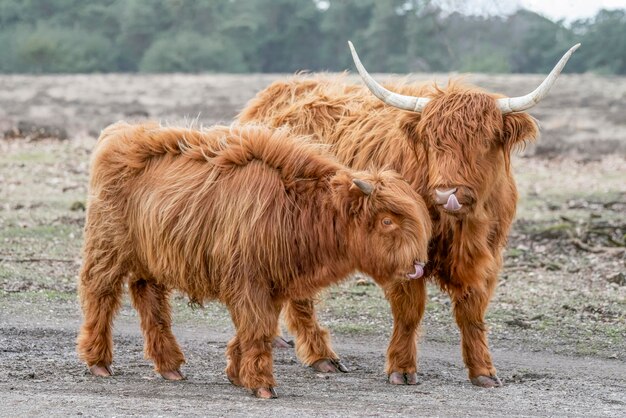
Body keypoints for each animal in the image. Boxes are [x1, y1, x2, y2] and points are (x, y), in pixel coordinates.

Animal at [77, 121, 428, 398]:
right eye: (387, 221)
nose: (417, 266)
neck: (297, 208)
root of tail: (120, 133)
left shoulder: (273, 285)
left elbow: (260, 328)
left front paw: (236, 372)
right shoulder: (250, 280)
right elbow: (258, 329)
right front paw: (261, 384)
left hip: (150, 260)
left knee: (151, 302)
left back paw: (170, 366)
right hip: (107, 248)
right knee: (100, 294)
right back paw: (99, 362)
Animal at [236, 40, 576, 386]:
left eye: (483, 141)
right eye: (431, 141)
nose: (447, 193)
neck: (461, 227)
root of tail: (274, 95)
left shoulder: (487, 257)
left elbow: (472, 312)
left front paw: (483, 371)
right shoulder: (400, 248)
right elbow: (409, 310)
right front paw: (401, 368)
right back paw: (322, 356)